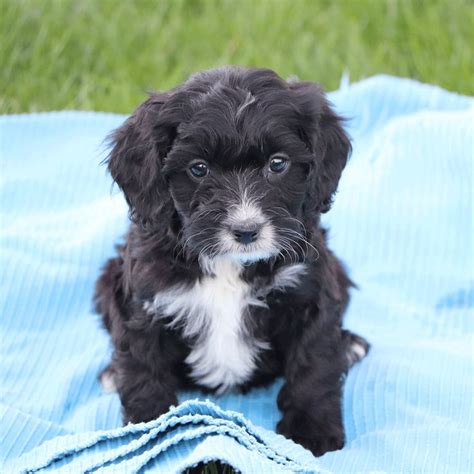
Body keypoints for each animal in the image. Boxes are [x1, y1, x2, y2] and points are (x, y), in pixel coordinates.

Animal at [94, 65, 368, 456]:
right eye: (198, 169)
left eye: (278, 164)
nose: (246, 230)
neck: (230, 266)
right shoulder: (143, 302)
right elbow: (143, 368)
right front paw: (149, 429)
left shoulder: (310, 292)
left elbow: (314, 362)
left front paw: (312, 431)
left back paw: (351, 345)